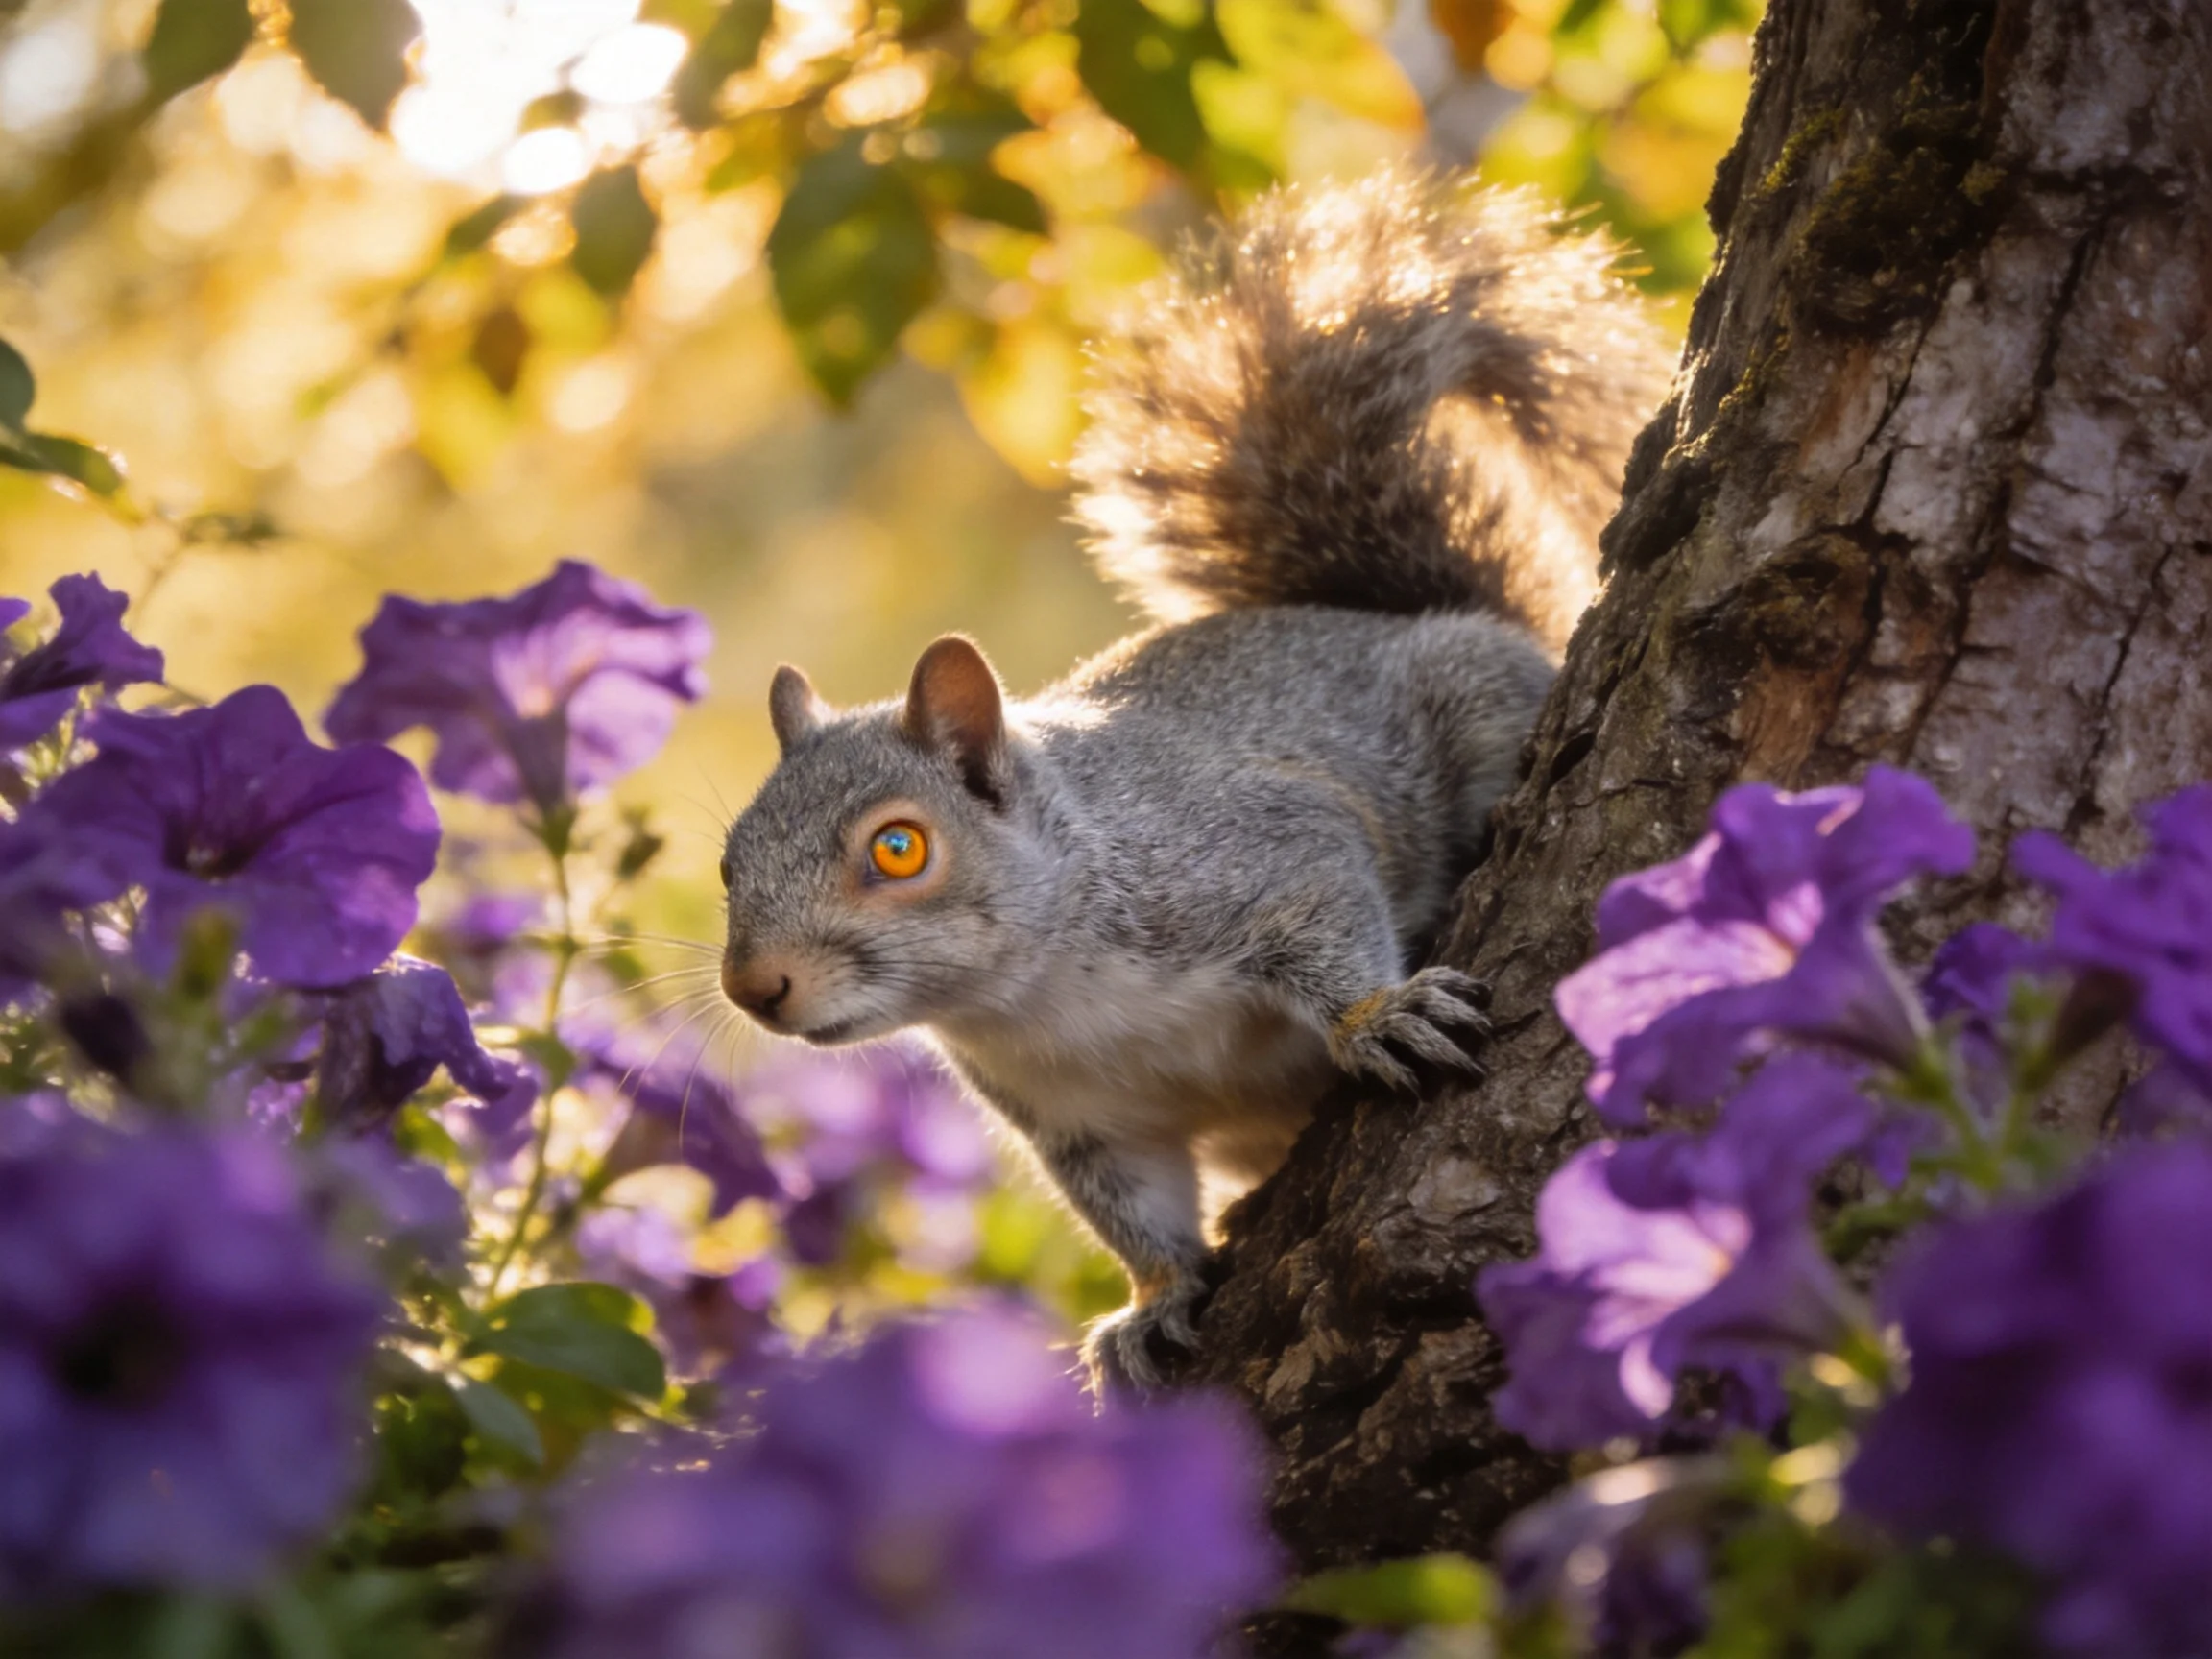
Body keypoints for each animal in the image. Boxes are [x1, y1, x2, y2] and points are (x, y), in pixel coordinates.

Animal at [715, 167, 1669, 1390]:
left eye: (898, 845)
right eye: (729, 862)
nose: (756, 987)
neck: (1043, 996)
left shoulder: (1252, 851)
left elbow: (1326, 905)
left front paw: (1379, 1017)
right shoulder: (1081, 1122)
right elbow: (1134, 1211)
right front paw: (1150, 1305)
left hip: (1474, 702)